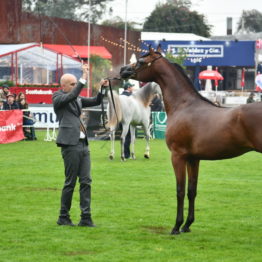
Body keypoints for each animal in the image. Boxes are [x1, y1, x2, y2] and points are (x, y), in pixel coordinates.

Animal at [119, 46, 262, 234]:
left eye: (141, 61)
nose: (123, 70)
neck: (184, 105)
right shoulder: (193, 159)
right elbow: (192, 190)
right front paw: (187, 225)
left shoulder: (178, 156)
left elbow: (180, 190)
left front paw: (176, 226)